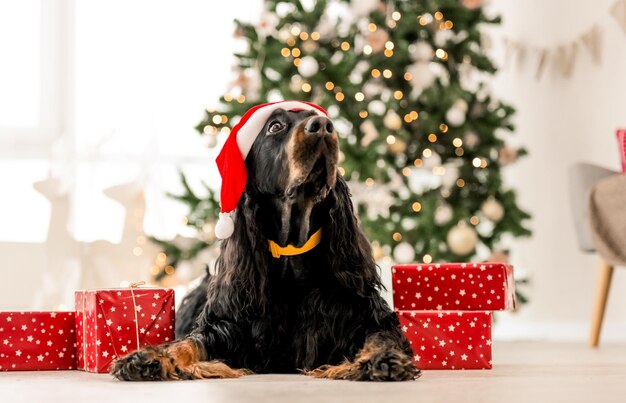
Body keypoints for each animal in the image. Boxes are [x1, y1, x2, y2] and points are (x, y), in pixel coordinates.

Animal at [111, 106, 420, 382]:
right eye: (275, 126)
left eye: (325, 120)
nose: (323, 126)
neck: (292, 253)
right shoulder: (228, 325)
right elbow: (190, 342)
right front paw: (150, 357)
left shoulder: (364, 314)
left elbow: (381, 336)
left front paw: (382, 360)